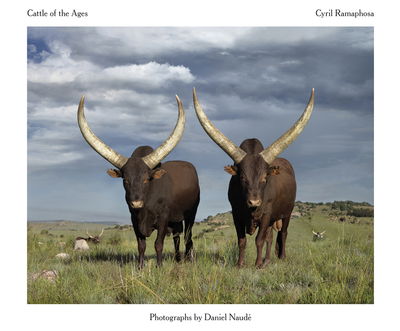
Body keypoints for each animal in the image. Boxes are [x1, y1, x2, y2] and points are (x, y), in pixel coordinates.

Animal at [77, 94, 200, 268]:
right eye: (125, 180)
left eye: (146, 179)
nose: (136, 203)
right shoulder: (134, 220)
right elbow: (141, 245)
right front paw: (140, 267)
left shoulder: (163, 219)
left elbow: (158, 244)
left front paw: (159, 266)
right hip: (176, 220)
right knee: (177, 237)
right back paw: (177, 259)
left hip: (191, 214)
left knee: (187, 237)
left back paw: (188, 259)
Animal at [192, 89, 314, 270]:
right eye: (242, 177)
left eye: (265, 177)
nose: (254, 202)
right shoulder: (236, 214)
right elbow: (242, 241)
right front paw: (240, 264)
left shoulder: (266, 214)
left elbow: (259, 240)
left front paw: (257, 264)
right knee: (271, 237)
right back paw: (267, 260)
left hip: (287, 212)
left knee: (283, 233)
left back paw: (280, 257)